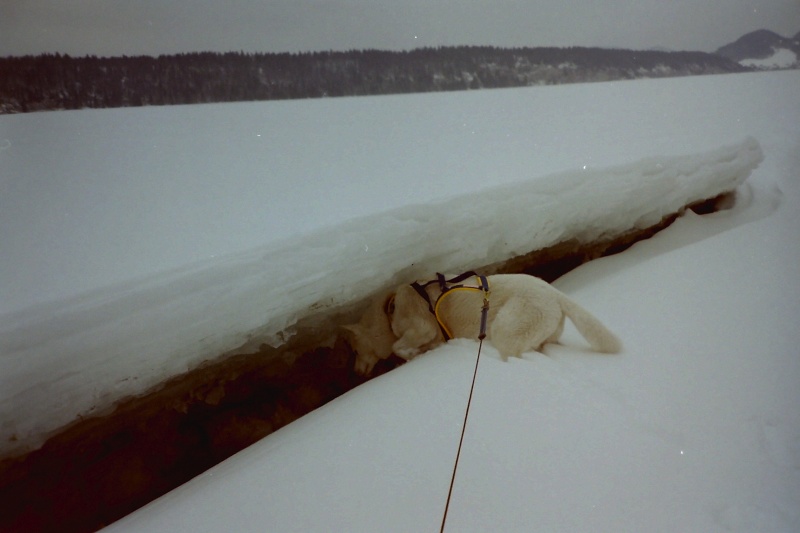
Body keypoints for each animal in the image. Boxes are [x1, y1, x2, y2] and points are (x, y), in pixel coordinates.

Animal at [342, 272, 620, 372]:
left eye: (355, 350)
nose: (354, 372)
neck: (389, 309)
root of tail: (555, 294)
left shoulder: (423, 327)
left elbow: (399, 346)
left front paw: (416, 354)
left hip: (505, 327)